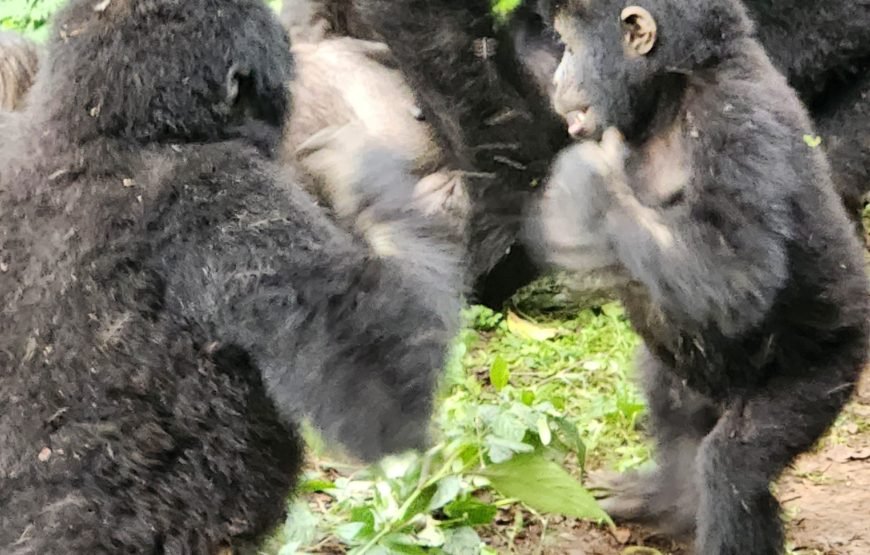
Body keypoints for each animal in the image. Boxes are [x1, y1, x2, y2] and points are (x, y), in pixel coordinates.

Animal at [523, 1, 870, 553]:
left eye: (570, 45)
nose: (558, 78)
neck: (672, 91)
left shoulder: (737, 123)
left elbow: (738, 273)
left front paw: (592, 191)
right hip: (693, 381)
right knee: (670, 396)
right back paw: (669, 503)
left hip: (828, 370)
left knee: (735, 466)